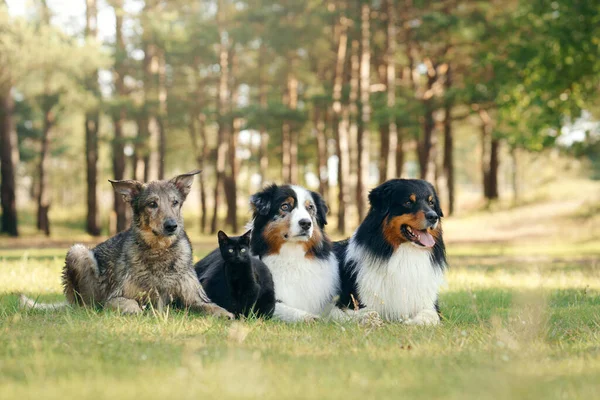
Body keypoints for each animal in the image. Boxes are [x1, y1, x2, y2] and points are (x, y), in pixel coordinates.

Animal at [21, 170, 233, 318]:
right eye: (152, 204)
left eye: (175, 202)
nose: (172, 225)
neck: (159, 250)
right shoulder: (116, 297)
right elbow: (130, 304)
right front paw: (136, 310)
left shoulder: (194, 298)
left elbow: (213, 307)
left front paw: (227, 315)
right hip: (78, 252)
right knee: (88, 306)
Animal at [336, 179, 448, 324]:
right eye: (408, 202)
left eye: (431, 202)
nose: (433, 217)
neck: (405, 253)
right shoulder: (342, 305)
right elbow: (365, 313)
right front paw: (371, 319)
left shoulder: (431, 305)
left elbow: (428, 315)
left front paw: (412, 323)